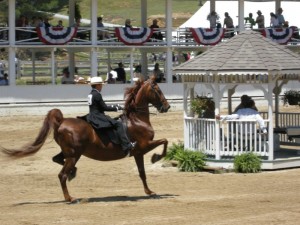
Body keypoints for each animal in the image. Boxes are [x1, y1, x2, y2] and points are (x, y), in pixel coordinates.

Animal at [1, 78, 170, 203]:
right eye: (157, 90)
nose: (167, 107)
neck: (137, 119)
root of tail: (61, 121)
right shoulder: (143, 146)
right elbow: (164, 141)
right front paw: (156, 158)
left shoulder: (137, 153)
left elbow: (142, 173)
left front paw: (149, 191)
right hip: (74, 154)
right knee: (61, 175)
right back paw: (70, 198)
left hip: (70, 153)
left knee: (57, 160)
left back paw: (73, 173)